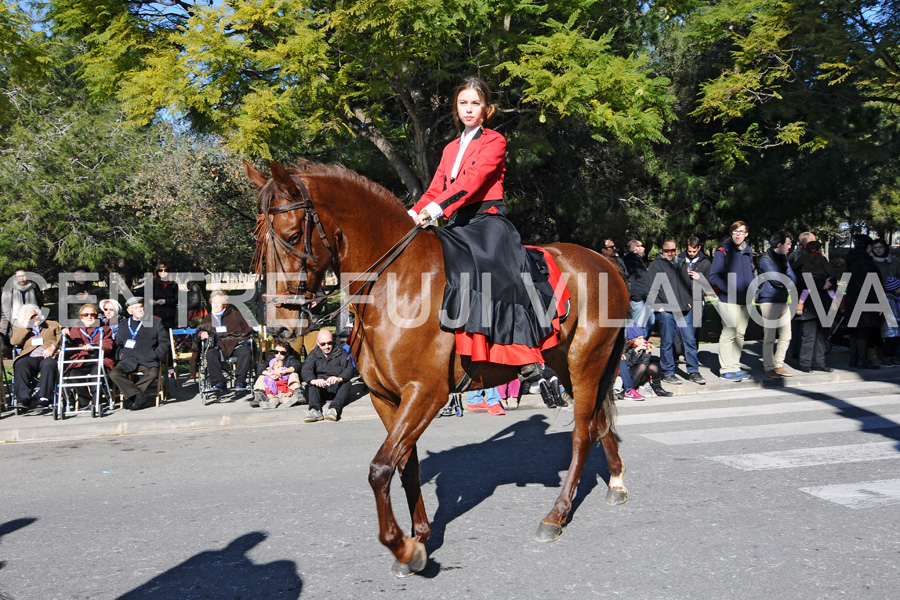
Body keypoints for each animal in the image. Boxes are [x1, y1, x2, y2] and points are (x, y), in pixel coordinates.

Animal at [243, 158, 628, 576]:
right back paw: (616, 483)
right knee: (598, 423)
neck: (396, 283)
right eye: (261, 242)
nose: (280, 325)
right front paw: (421, 536)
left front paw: (403, 547)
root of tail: (604, 261)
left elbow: (380, 468)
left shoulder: (426, 393)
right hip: (572, 367)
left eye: (294, 235)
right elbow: (405, 466)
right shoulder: (386, 398)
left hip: (585, 363)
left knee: (581, 434)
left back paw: (555, 516)